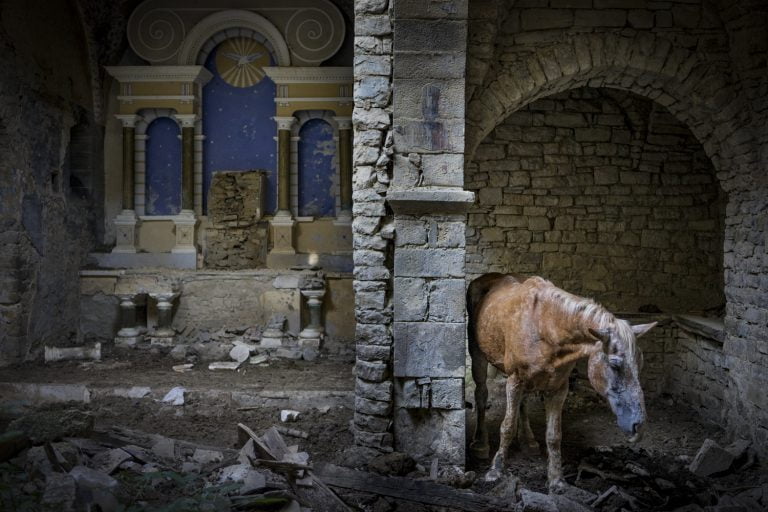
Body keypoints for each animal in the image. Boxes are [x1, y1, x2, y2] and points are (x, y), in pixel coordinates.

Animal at [464, 274, 656, 486]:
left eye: (641, 363)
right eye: (615, 365)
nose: (639, 427)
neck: (545, 327)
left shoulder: (558, 389)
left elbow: (554, 435)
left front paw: (556, 480)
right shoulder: (515, 380)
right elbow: (507, 426)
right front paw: (496, 469)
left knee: (522, 403)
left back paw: (528, 440)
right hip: (478, 356)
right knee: (481, 395)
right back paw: (480, 443)